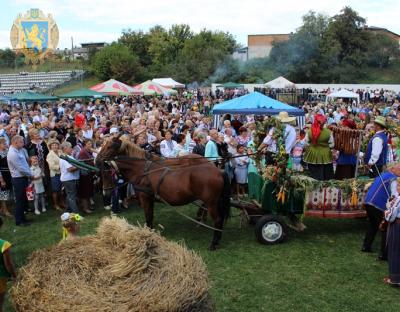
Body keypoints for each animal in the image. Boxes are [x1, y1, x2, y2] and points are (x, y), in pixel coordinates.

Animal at [95, 138, 230, 250]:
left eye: (109, 146)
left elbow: (148, 216)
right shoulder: (147, 197)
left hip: (211, 202)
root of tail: (218, 171)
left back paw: (213, 243)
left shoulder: (145, 197)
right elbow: (144, 210)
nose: (96, 160)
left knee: (218, 219)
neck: (141, 169)